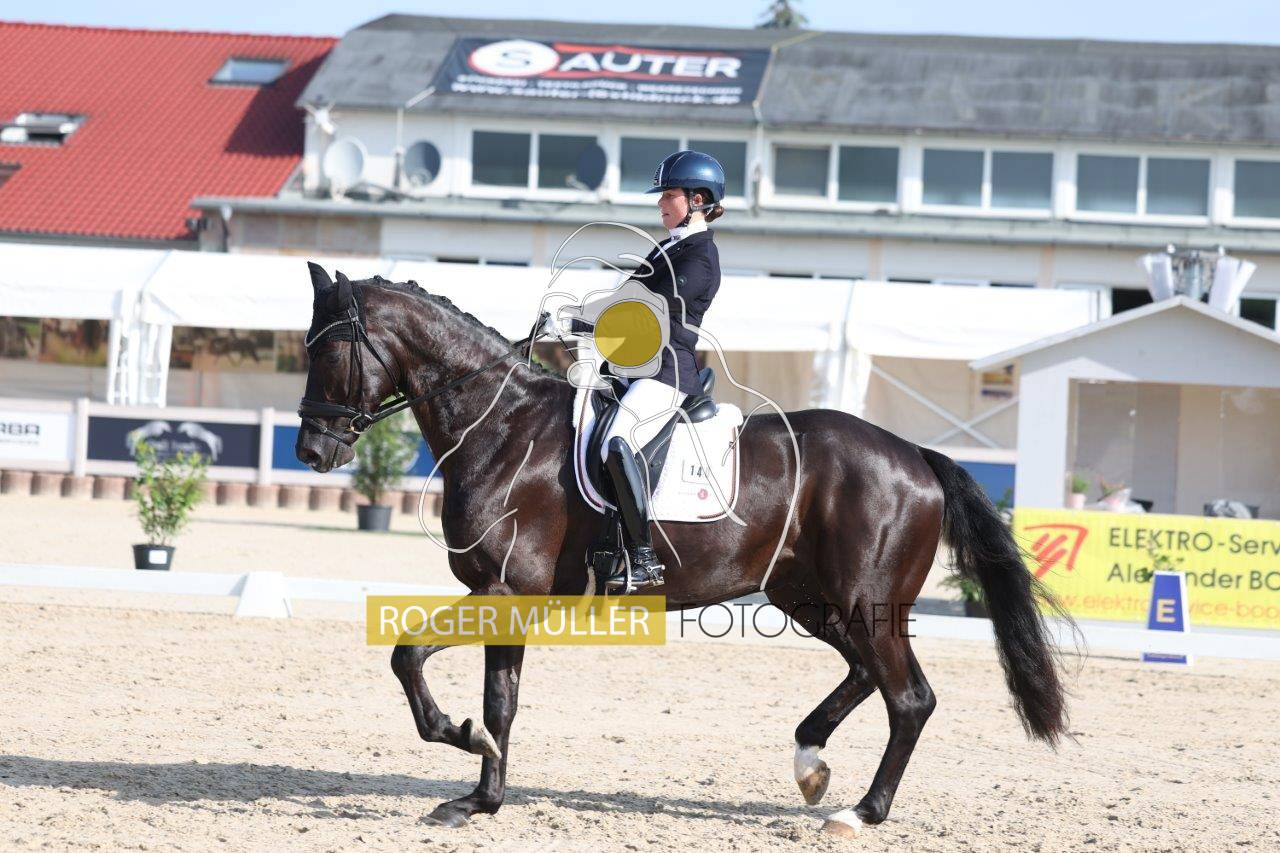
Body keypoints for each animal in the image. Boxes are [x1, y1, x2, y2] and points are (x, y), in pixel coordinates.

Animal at [293, 263, 1073, 834]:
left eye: (328, 349)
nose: (311, 451)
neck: (500, 425)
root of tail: (914, 455)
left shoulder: (502, 591)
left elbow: (409, 657)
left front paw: (458, 737)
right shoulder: (508, 599)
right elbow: (500, 704)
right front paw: (480, 798)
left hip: (866, 599)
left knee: (909, 696)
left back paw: (860, 812)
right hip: (806, 596)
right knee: (864, 674)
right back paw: (810, 762)